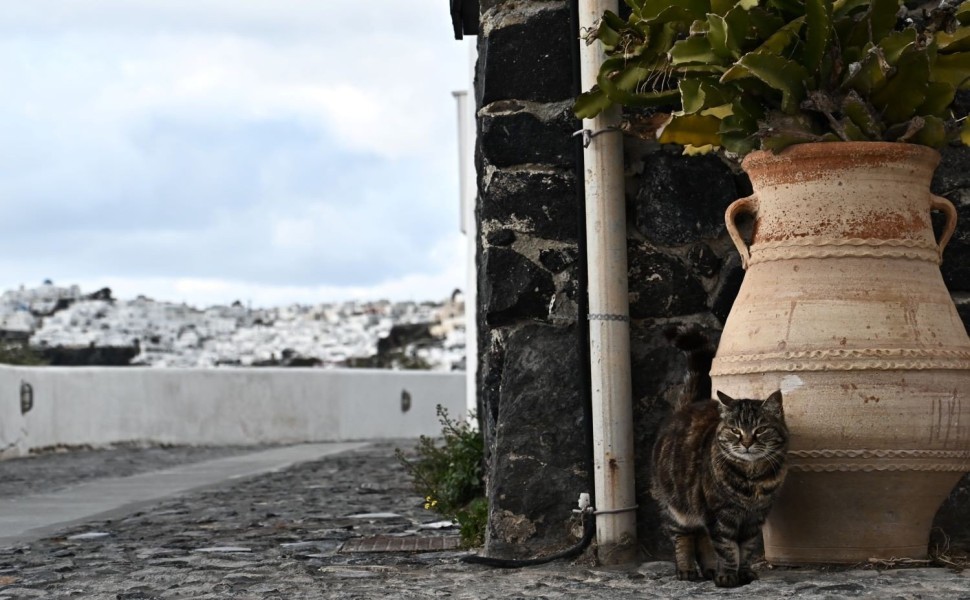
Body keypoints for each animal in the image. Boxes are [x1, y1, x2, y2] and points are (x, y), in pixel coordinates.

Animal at [652, 328, 788, 584]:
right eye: (735, 430)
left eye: (760, 430)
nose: (746, 442)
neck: (752, 479)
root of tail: (685, 408)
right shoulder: (721, 515)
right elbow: (727, 549)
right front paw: (727, 577)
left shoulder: (754, 519)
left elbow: (746, 548)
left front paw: (744, 573)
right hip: (677, 508)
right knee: (683, 538)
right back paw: (686, 570)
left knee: (702, 538)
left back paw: (709, 570)